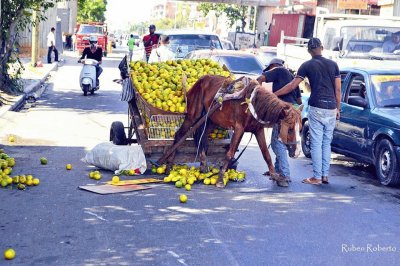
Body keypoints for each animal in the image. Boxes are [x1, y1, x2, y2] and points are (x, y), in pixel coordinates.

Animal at [166, 75, 304, 187]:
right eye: (290, 129)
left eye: (300, 129)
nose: (297, 152)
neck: (253, 103)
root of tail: (200, 80)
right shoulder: (239, 128)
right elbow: (230, 153)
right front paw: (220, 179)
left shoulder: (258, 130)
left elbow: (266, 154)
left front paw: (276, 176)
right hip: (192, 116)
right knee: (179, 135)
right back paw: (168, 165)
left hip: (211, 120)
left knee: (201, 136)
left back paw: (203, 165)